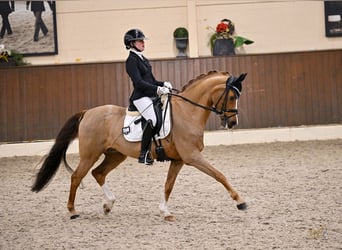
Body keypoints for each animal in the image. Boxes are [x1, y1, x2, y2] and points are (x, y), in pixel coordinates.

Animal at [32, 71, 247, 221]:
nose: (233, 122)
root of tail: (87, 112)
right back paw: (73, 211)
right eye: (231, 97)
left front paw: (165, 212)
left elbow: (168, 185)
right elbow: (219, 175)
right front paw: (240, 202)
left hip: (115, 155)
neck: (188, 112)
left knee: (98, 173)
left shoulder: (178, 160)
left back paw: (108, 205)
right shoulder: (192, 156)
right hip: (90, 154)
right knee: (77, 176)